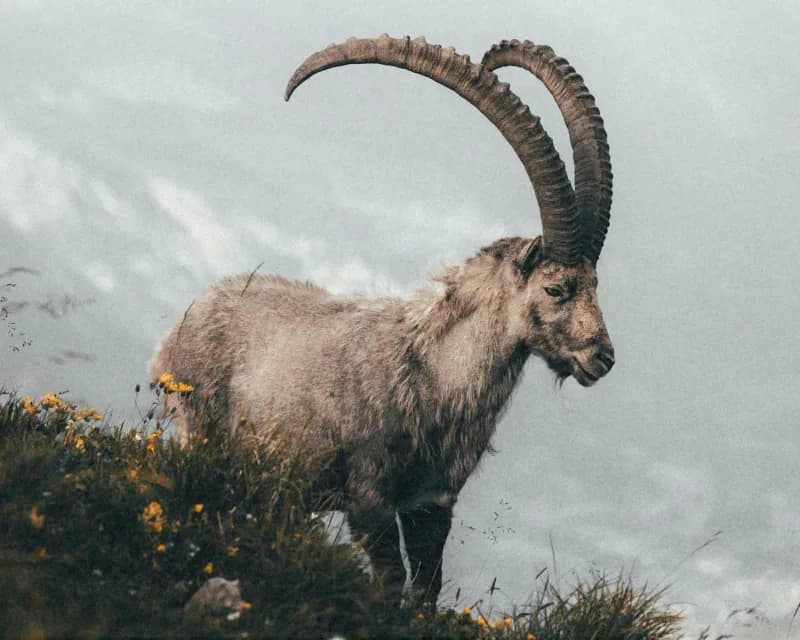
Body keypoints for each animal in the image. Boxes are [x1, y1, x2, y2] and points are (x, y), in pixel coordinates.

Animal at [149, 36, 615, 605]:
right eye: (555, 288)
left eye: (596, 286)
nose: (603, 357)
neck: (434, 376)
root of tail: (184, 322)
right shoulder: (368, 497)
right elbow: (391, 583)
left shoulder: (431, 505)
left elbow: (426, 591)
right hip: (202, 429)